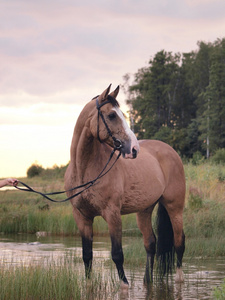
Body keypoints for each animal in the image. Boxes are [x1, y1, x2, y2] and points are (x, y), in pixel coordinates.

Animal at [64, 84, 185, 286]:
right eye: (112, 115)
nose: (134, 149)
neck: (84, 170)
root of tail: (170, 150)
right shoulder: (82, 217)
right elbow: (87, 255)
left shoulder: (113, 215)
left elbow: (117, 254)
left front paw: (124, 285)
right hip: (144, 210)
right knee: (150, 243)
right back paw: (147, 281)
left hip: (175, 208)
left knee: (179, 242)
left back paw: (179, 280)